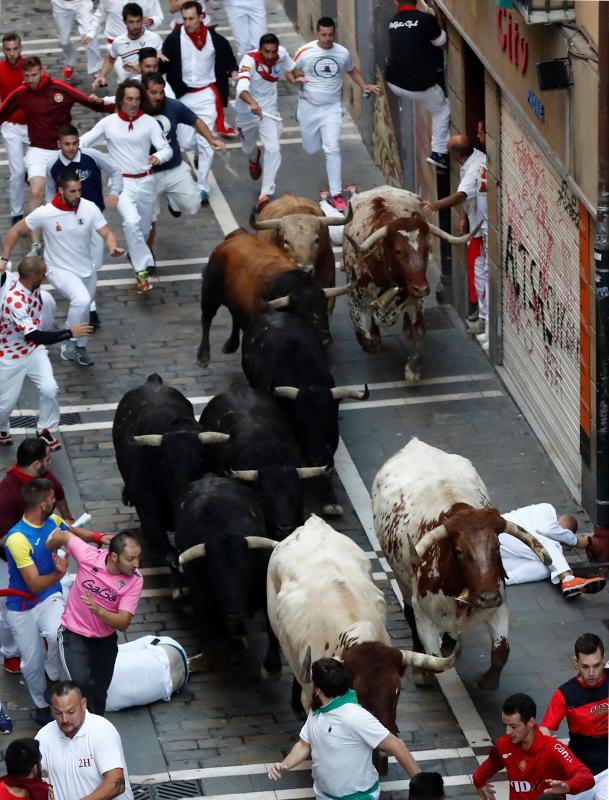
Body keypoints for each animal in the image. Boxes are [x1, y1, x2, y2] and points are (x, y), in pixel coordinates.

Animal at [195, 227, 346, 368]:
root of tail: (238, 235)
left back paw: (230, 345)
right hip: (209, 294)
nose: (325, 341)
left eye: (324, 306)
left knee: (234, 317)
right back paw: (203, 357)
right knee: (206, 319)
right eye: (300, 312)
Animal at [342, 189, 476, 386]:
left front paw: (413, 369)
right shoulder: (355, 303)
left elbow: (419, 331)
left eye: (426, 248)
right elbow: (364, 338)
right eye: (398, 251)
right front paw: (374, 338)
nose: (422, 288)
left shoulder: (416, 301)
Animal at [370, 438, 552, 688]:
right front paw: (424, 672)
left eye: (497, 546)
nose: (488, 597)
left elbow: (501, 652)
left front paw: (487, 681)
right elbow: (435, 659)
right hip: (402, 581)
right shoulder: (424, 615)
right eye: (458, 552)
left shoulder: (499, 607)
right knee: (408, 612)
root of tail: (415, 443)